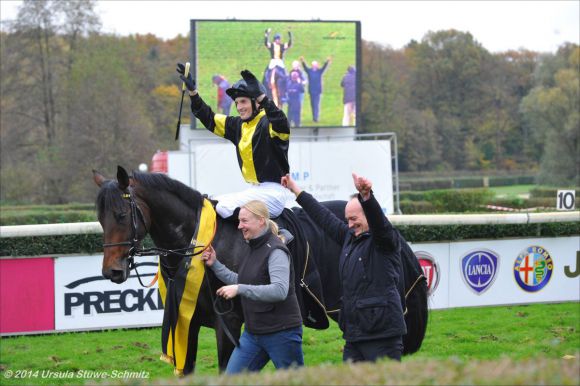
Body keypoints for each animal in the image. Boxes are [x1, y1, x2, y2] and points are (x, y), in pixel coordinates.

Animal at [93, 165, 428, 374]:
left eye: (121, 215)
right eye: (99, 218)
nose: (112, 271)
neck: (197, 240)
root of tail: (393, 235)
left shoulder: (227, 322)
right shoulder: (186, 322)